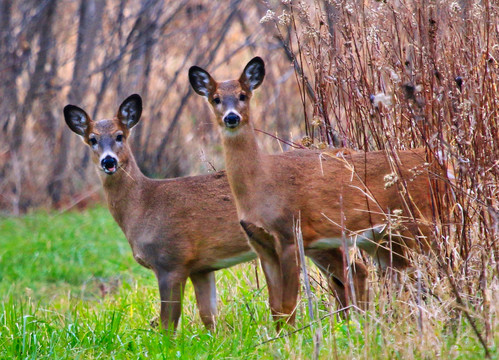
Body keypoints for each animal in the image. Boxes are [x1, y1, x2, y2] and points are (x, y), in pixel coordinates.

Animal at [62, 93, 370, 332]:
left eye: (119, 136)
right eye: (92, 139)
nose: (108, 161)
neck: (144, 206)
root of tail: (342, 154)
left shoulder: (171, 260)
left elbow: (168, 324)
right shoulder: (202, 266)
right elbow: (209, 318)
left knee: (353, 271)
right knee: (344, 276)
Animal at [189, 57, 448, 330]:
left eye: (243, 95)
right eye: (215, 98)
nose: (231, 117)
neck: (262, 186)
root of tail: (438, 163)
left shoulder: (291, 234)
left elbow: (288, 305)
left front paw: (291, 337)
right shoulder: (261, 243)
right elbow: (275, 307)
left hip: (421, 224)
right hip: (382, 239)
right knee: (403, 277)